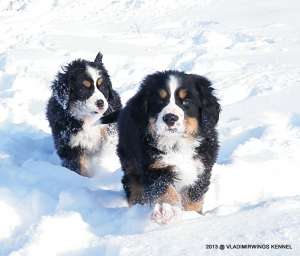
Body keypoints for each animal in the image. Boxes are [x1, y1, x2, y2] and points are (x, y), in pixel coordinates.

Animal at [117, 70, 220, 224]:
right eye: (160, 101)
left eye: (186, 101)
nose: (170, 118)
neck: (177, 143)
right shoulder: (154, 166)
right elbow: (164, 188)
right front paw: (166, 210)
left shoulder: (201, 167)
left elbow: (194, 196)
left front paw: (192, 216)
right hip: (130, 160)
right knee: (132, 184)